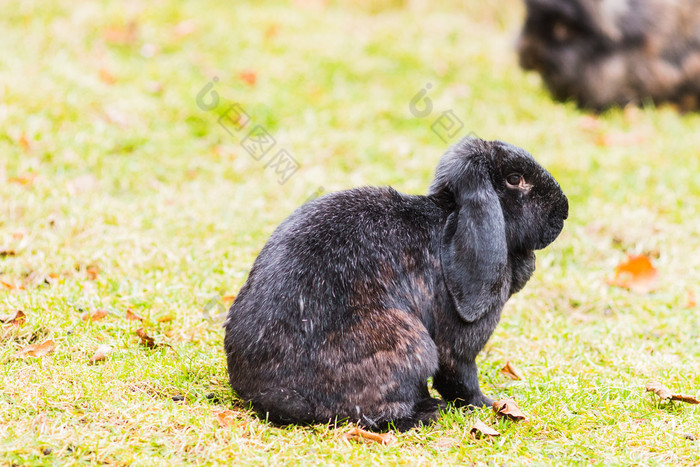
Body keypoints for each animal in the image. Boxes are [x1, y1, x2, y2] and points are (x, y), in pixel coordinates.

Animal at [224, 137, 568, 434]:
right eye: (514, 178)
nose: (564, 210)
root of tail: (266, 394)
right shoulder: (457, 347)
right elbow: (460, 378)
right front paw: (486, 405)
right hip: (410, 343)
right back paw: (429, 412)